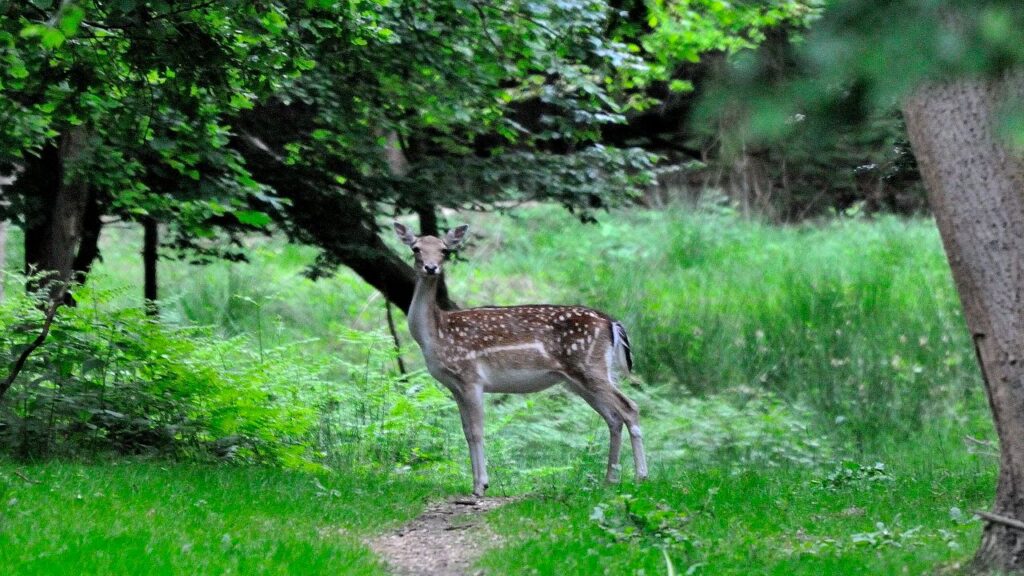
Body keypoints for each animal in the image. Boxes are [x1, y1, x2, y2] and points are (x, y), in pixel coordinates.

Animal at [393, 221, 648, 496]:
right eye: (416, 248)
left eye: (444, 250)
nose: (431, 267)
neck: (435, 335)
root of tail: (612, 322)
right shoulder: (455, 386)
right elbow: (467, 432)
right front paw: (476, 484)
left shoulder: (471, 377)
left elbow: (477, 431)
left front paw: (481, 486)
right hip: (581, 378)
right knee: (613, 417)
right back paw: (610, 480)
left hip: (590, 367)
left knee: (629, 408)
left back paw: (641, 476)